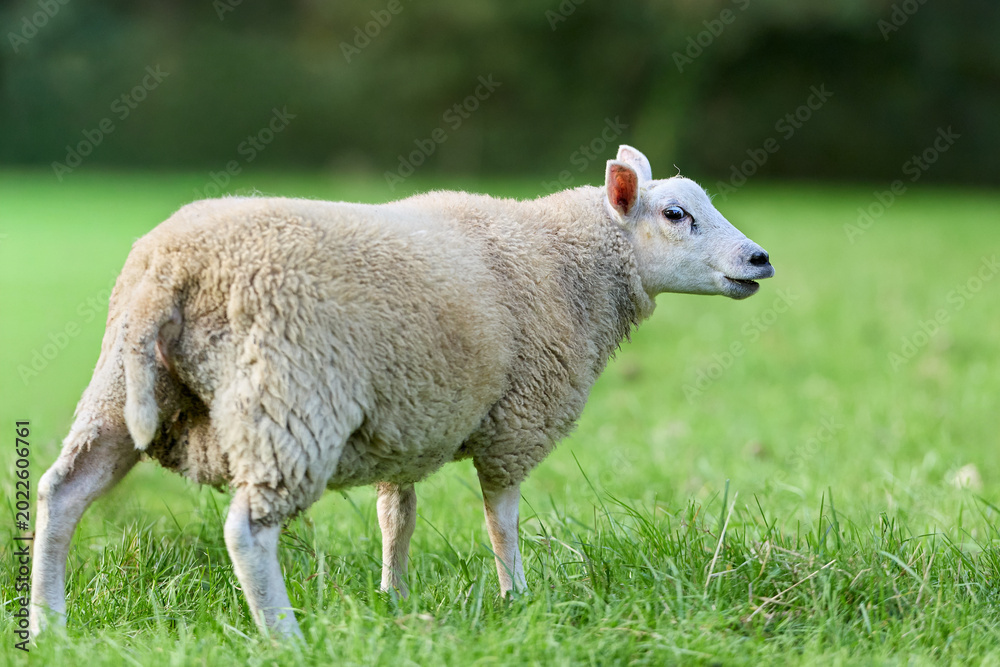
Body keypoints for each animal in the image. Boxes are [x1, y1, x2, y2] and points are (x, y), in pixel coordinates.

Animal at [29, 145, 774, 639]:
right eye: (676, 214)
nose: (760, 259)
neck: (568, 262)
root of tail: (170, 270)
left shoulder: (406, 420)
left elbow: (398, 516)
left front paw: (393, 597)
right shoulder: (516, 422)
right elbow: (501, 520)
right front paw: (517, 597)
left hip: (119, 390)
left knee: (63, 493)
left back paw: (49, 626)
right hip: (290, 399)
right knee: (247, 529)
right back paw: (284, 638)